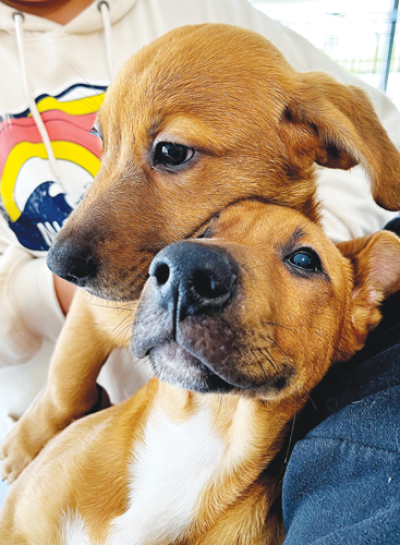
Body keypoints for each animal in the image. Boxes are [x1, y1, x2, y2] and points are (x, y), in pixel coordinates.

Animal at [0, 21, 400, 482]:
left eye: (172, 151)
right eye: (102, 141)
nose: (57, 264)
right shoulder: (89, 314)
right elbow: (66, 384)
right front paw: (24, 446)